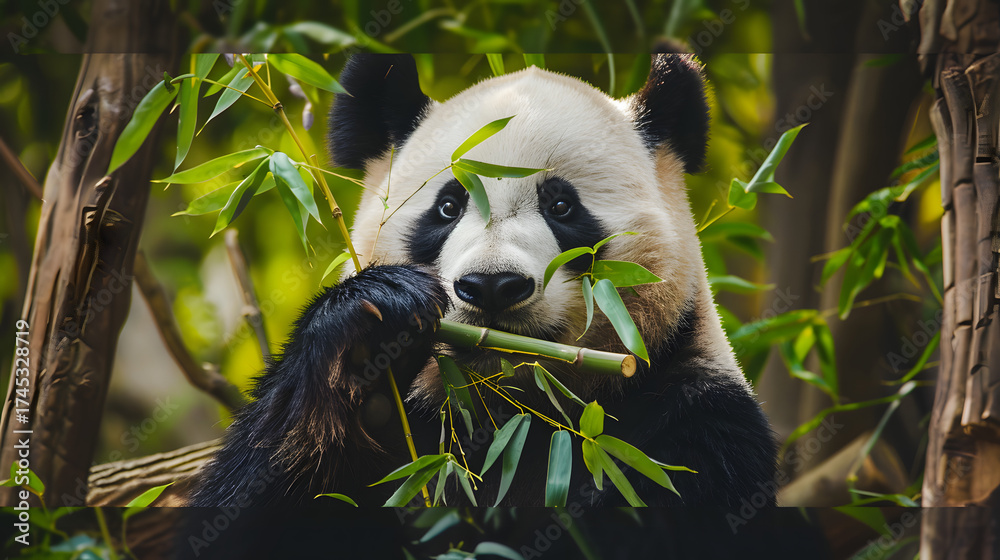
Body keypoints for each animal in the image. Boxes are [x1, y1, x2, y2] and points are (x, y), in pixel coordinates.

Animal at [189, 53, 777, 508]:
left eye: (561, 207)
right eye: (447, 207)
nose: (492, 286)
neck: (509, 418)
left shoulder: (694, 427)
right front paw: (365, 338)